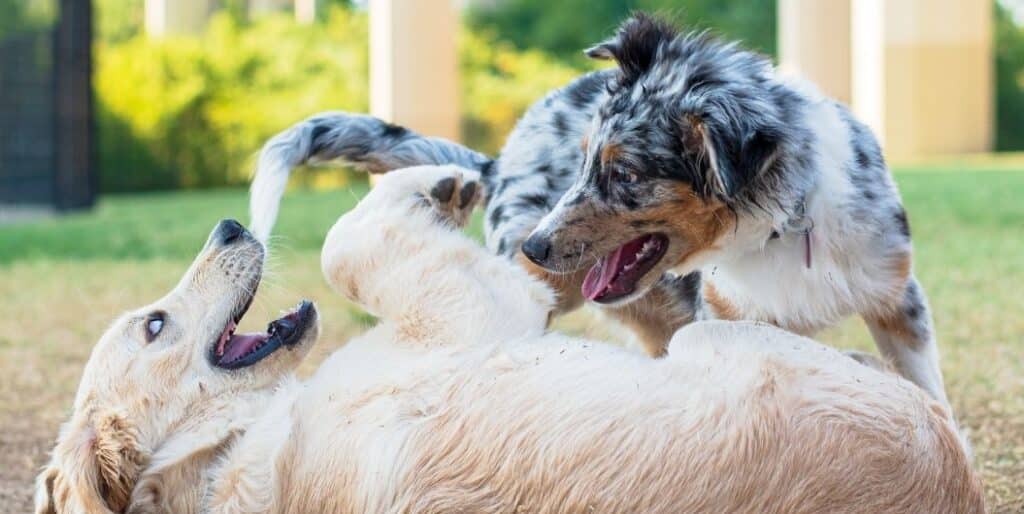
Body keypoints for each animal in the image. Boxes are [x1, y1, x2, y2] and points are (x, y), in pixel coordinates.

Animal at [37, 166, 983, 511]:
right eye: (154, 324)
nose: (232, 222)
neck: (230, 458)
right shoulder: (474, 309)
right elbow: (350, 244)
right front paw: (440, 182)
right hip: (722, 349)